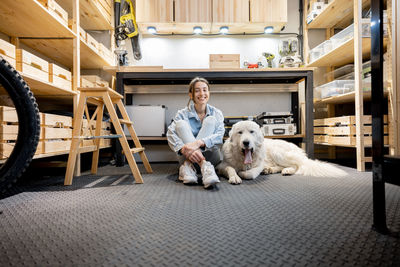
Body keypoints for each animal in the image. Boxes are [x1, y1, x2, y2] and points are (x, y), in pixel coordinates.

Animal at [217, 121, 346, 185]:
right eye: (240, 132)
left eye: (251, 132)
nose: (246, 142)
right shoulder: (221, 165)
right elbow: (230, 168)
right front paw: (234, 176)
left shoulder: (258, 166)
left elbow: (249, 174)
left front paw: (242, 173)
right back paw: (270, 170)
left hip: (278, 152)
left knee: (296, 166)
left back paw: (287, 170)